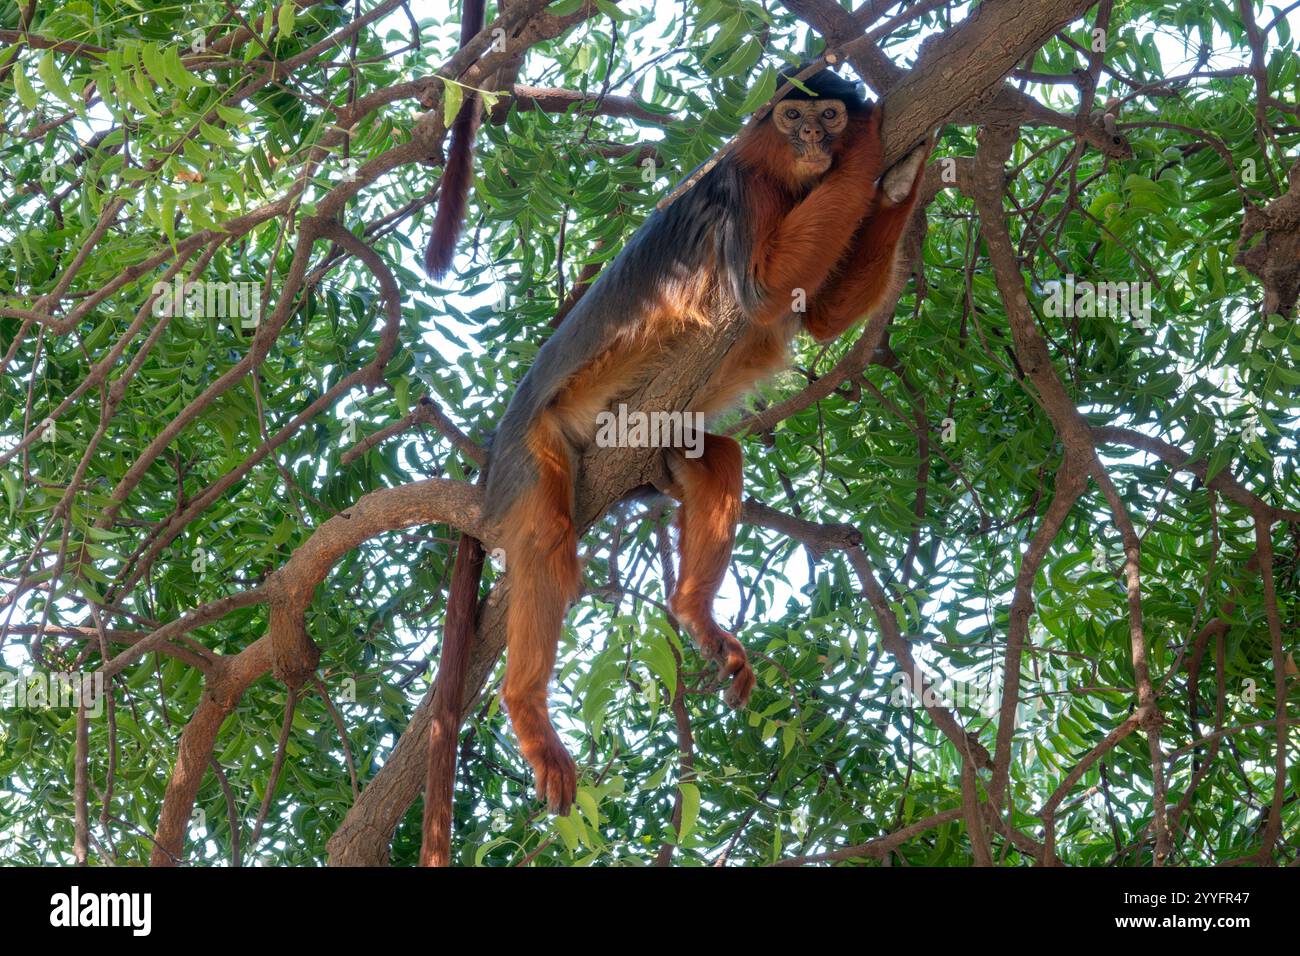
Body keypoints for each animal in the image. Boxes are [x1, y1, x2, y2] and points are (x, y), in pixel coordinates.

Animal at [419, 66, 929, 862]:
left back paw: (694, 613)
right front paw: (872, 149)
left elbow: (817, 318)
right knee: (548, 544)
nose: (816, 141)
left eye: (825, 115)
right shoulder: (742, 195)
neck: (783, 176)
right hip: (536, 447)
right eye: (794, 119)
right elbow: (763, 288)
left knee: (719, 459)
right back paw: (527, 709)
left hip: (655, 443)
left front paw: (907, 172)